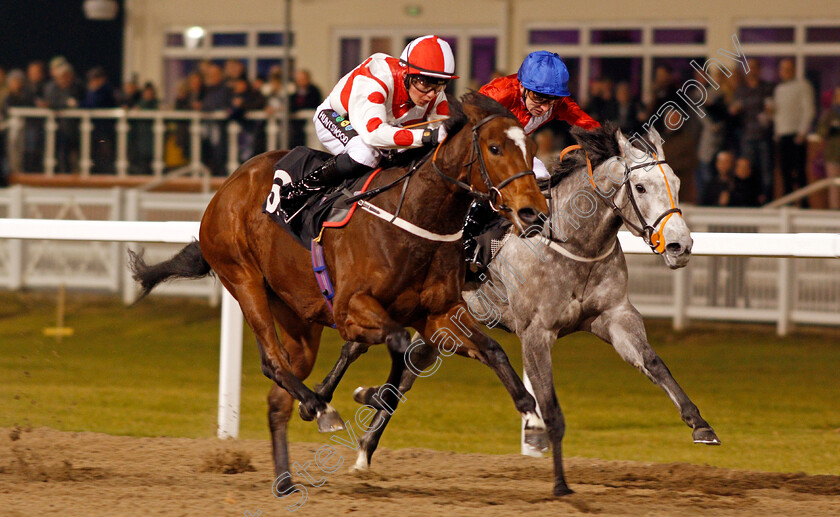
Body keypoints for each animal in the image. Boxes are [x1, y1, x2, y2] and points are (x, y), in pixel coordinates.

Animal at [123, 91, 544, 488]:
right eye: (495, 148)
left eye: (532, 148)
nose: (532, 211)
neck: (415, 216)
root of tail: (227, 185)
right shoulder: (351, 309)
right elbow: (397, 343)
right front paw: (366, 395)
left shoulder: (439, 314)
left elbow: (492, 349)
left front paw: (533, 417)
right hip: (244, 279)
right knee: (272, 360)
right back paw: (319, 408)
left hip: (298, 315)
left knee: (278, 396)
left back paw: (286, 481)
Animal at [312, 122, 720, 496]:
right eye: (640, 187)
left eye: (677, 183)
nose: (680, 245)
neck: (574, 243)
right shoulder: (536, 333)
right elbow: (550, 408)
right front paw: (559, 482)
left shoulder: (614, 316)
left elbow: (653, 363)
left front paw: (701, 424)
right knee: (355, 348)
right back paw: (324, 401)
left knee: (407, 372)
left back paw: (365, 441)